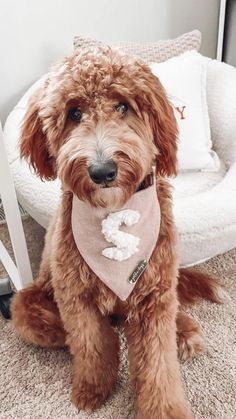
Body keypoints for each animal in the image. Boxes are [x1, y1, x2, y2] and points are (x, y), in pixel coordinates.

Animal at [11, 46, 221, 419]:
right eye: (74, 113)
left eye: (123, 106)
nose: (102, 170)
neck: (115, 209)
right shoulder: (76, 297)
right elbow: (93, 345)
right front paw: (93, 390)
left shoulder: (154, 296)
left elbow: (158, 364)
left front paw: (165, 409)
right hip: (29, 304)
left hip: (164, 287)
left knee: (172, 312)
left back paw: (184, 331)